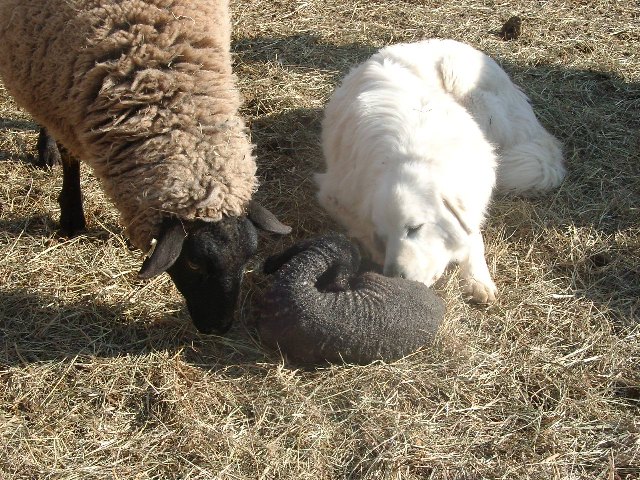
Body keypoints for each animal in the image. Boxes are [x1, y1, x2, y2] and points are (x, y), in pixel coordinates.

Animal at [316, 37, 564, 302]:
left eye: (415, 228)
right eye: (383, 235)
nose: (395, 277)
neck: (408, 152)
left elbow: (473, 233)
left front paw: (477, 278)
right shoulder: (334, 194)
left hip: (468, 89)